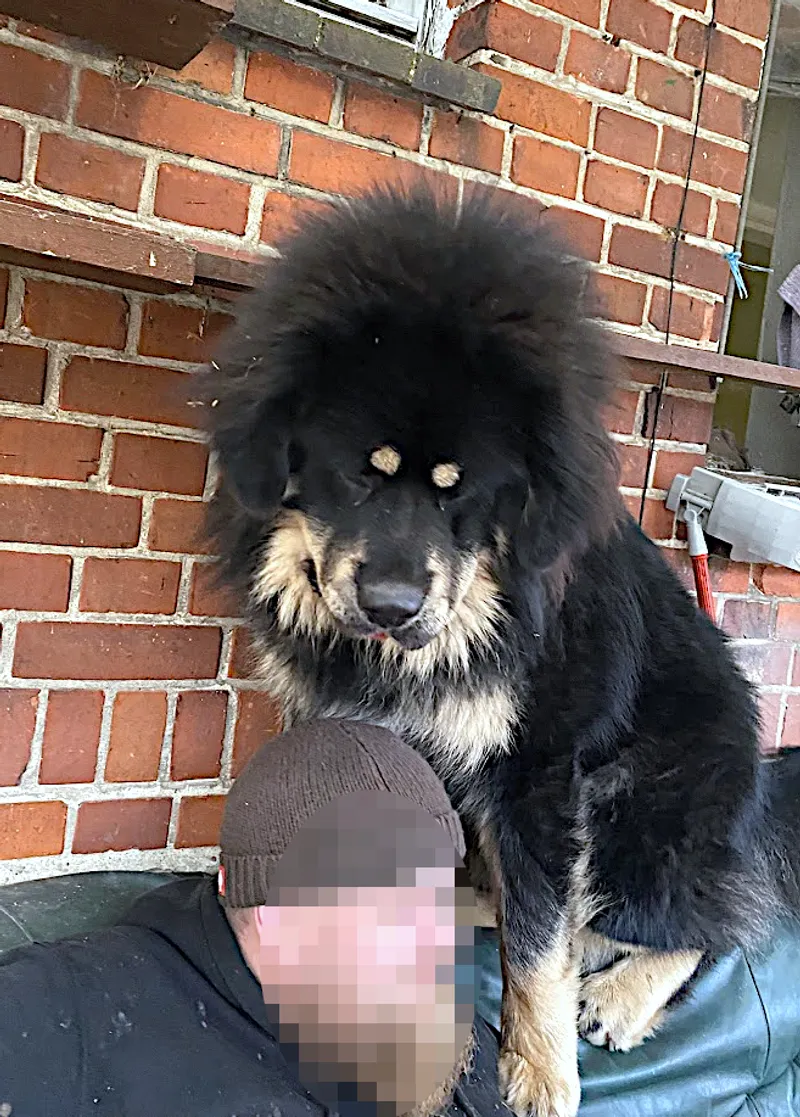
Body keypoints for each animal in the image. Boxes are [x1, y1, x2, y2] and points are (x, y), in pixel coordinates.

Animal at [201, 187, 800, 1117]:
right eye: (358, 474)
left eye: (460, 492)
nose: (391, 605)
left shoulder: (536, 770)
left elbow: (541, 943)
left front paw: (542, 1070)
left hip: (638, 806)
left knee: (716, 922)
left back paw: (619, 992)